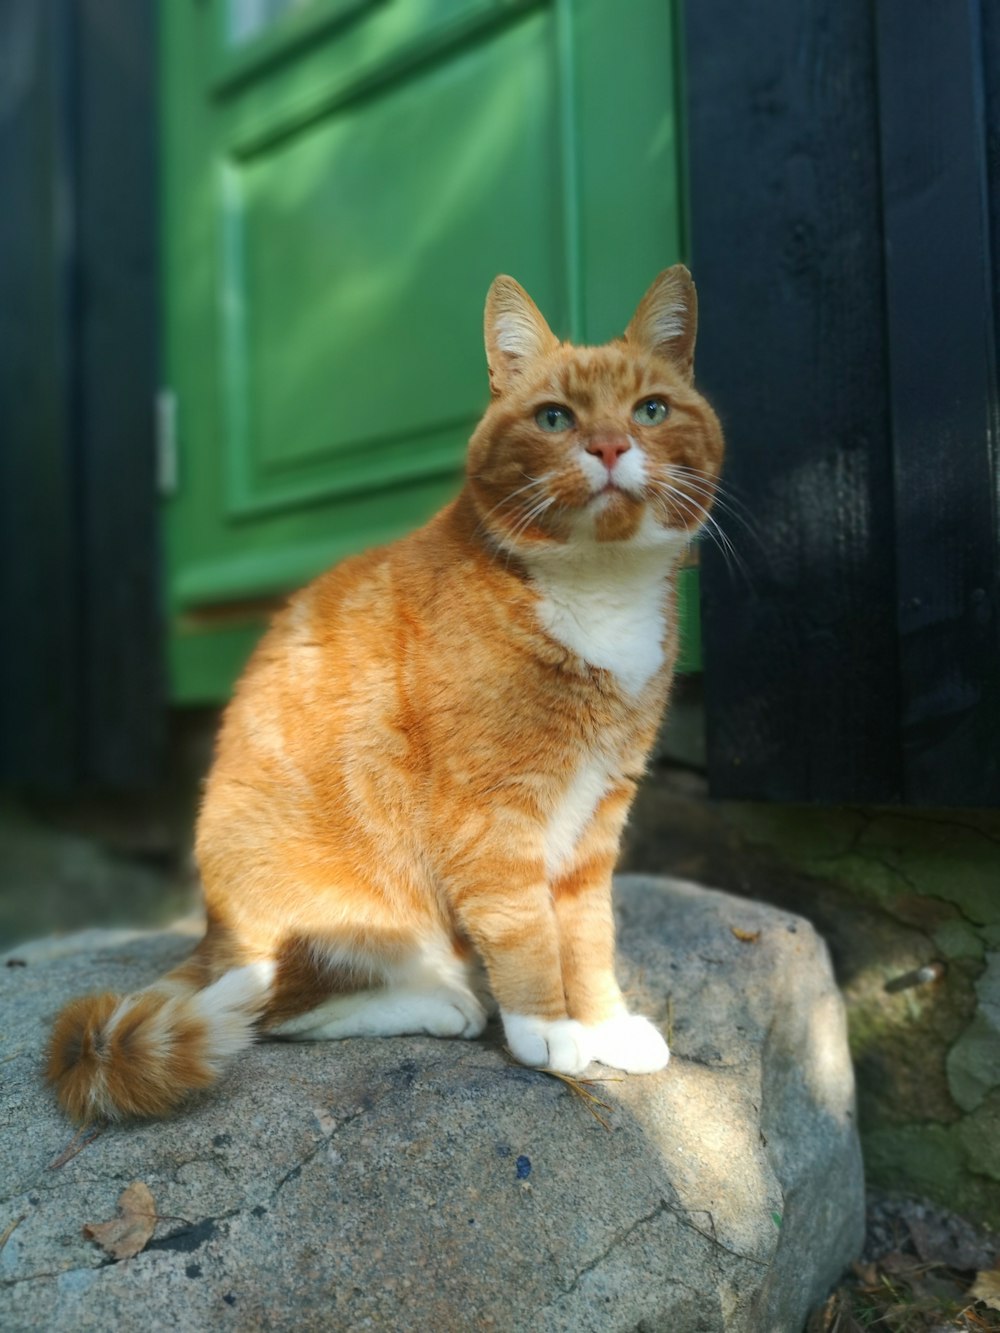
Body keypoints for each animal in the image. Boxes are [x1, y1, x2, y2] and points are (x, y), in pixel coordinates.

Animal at [47, 265, 725, 1119]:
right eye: (555, 417)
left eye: (651, 410)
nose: (609, 445)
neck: (596, 588)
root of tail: (210, 933)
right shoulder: (490, 819)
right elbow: (527, 932)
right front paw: (549, 1029)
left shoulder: (597, 814)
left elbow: (588, 933)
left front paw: (602, 1022)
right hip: (347, 923)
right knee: (274, 1011)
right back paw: (444, 1002)